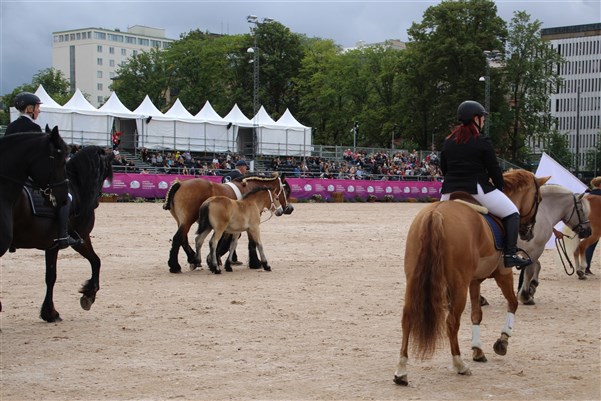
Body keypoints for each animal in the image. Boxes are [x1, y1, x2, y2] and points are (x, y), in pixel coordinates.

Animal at [10, 145, 113, 320]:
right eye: (105, 172)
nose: (97, 200)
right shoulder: (76, 239)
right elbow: (55, 276)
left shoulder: (59, 243)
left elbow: (93, 262)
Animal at [162, 173, 292, 274]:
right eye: (285, 191)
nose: (288, 209)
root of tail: (180, 184)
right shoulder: (252, 227)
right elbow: (253, 243)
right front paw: (258, 263)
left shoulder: (235, 228)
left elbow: (230, 243)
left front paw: (219, 261)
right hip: (189, 221)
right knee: (180, 239)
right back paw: (176, 266)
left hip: (185, 222)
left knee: (187, 239)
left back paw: (194, 260)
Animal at [394, 170, 548, 384]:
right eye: (539, 199)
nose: (528, 233)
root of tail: (435, 214)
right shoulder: (503, 274)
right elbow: (513, 303)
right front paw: (502, 342)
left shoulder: (474, 281)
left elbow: (477, 314)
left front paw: (477, 350)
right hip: (458, 285)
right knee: (451, 322)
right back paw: (459, 364)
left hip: (414, 279)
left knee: (408, 318)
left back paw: (401, 371)